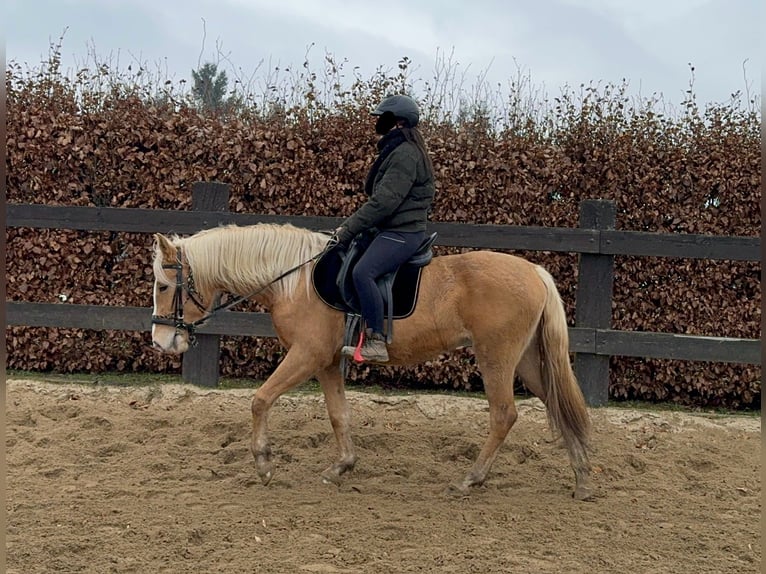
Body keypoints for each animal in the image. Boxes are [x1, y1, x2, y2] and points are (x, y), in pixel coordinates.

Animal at [148, 223, 592, 502]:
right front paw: (341, 466)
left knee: (504, 415)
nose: (160, 341)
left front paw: (263, 465)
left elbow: (260, 400)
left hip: (495, 357)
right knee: (560, 406)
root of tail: (534, 271)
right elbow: (338, 414)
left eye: (164, 286)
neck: (294, 280)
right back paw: (583, 479)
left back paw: (470, 479)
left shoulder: (306, 355)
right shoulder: (326, 362)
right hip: (527, 361)